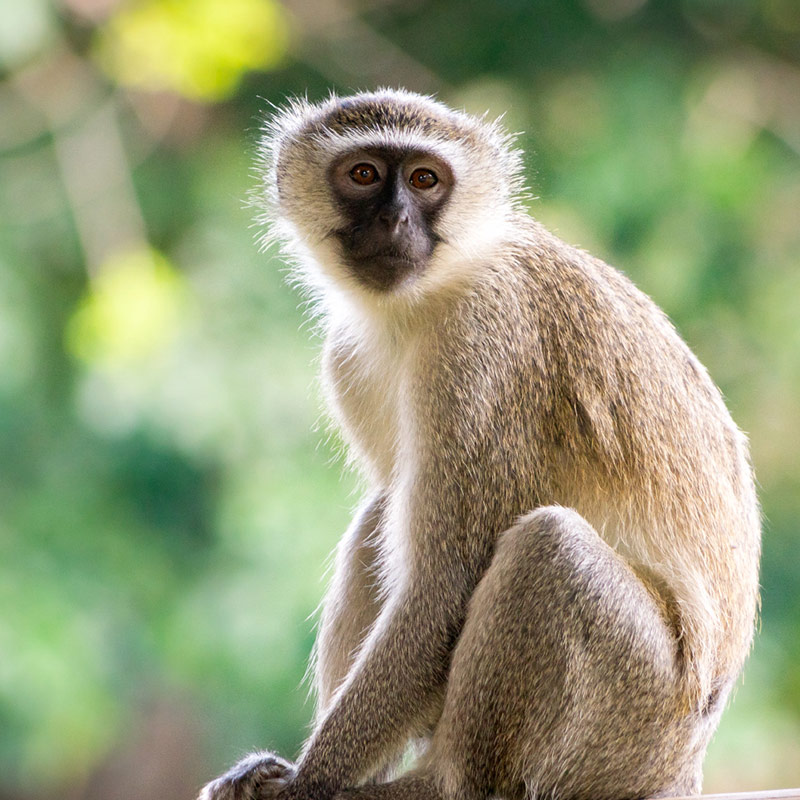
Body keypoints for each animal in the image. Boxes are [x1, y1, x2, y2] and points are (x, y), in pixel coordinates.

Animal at [198, 88, 761, 800]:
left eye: (424, 179)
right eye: (363, 175)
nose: (395, 220)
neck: (429, 293)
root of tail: (680, 767)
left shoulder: (482, 344)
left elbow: (445, 585)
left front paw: (307, 786)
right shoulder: (347, 357)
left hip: (637, 713)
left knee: (549, 547)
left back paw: (441, 782)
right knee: (385, 514)